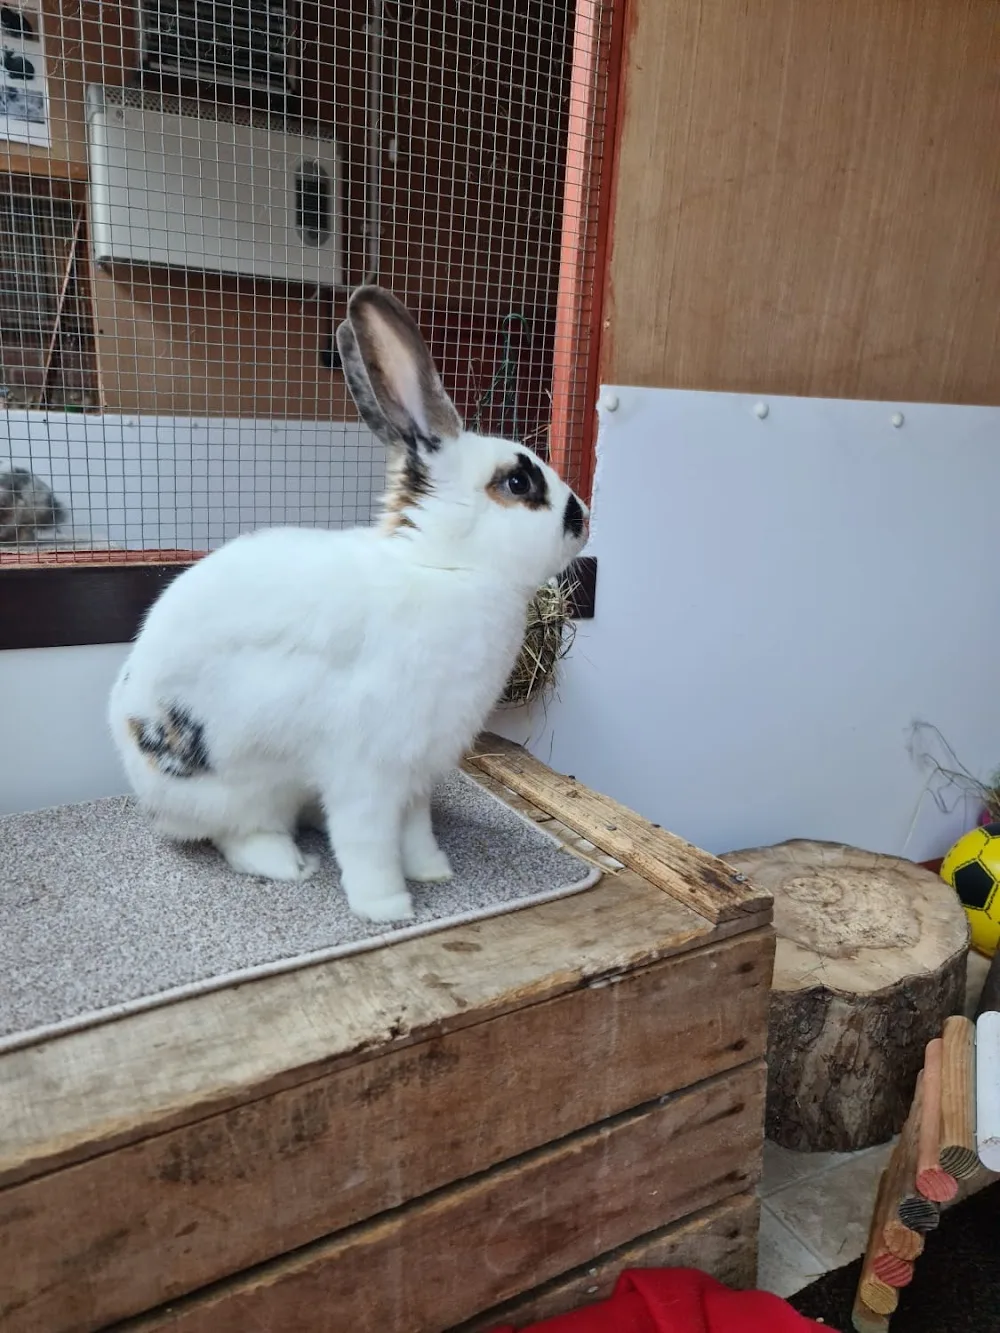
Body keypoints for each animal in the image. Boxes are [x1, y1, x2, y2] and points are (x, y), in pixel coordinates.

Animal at [108, 285, 589, 923]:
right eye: (518, 484)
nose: (584, 519)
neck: (445, 568)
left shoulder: (416, 775)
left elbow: (414, 830)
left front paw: (432, 872)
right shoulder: (368, 769)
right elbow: (368, 841)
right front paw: (388, 906)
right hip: (234, 787)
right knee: (239, 835)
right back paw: (288, 864)